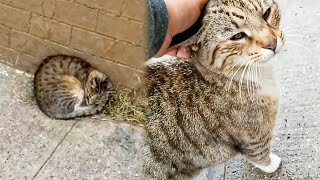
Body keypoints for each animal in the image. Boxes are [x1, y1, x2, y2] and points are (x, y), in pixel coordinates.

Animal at [144, 0, 284, 179]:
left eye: (266, 14)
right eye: (237, 36)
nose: (272, 44)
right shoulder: (253, 138)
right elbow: (260, 155)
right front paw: (271, 164)